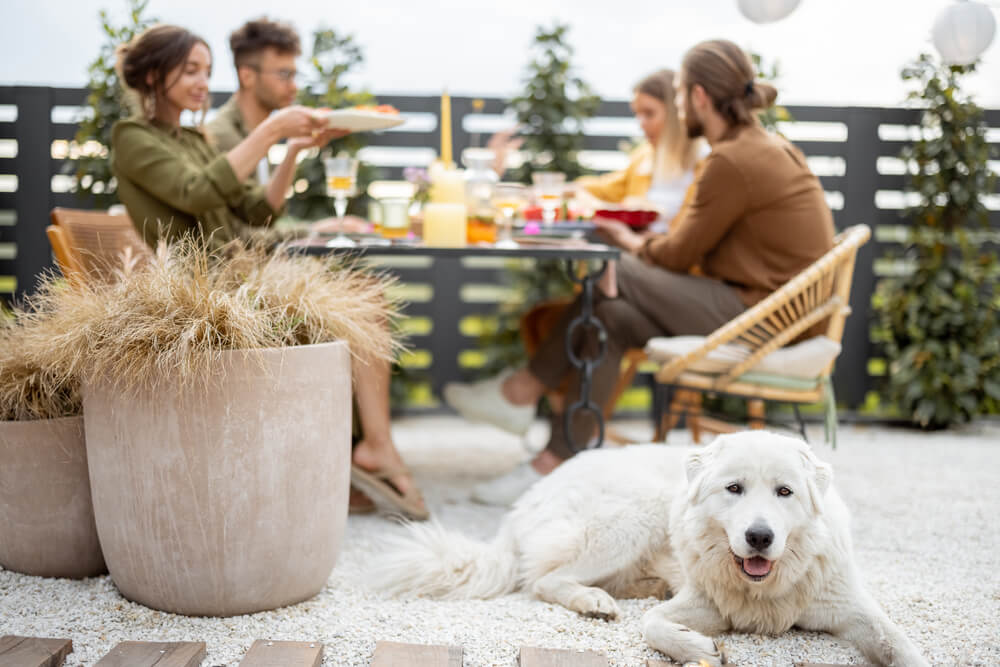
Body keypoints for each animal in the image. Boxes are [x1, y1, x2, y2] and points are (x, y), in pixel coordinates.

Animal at [376, 430, 928, 664]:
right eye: (734, 489)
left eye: (785, 492)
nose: (759, 537)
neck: (765, 589)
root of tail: (525, 499)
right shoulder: (703, 603)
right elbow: (654, 626)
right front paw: (696, 648)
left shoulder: (850, 606)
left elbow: (898, 642)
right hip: (637, 510)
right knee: (544, 579)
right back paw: (594, 600)